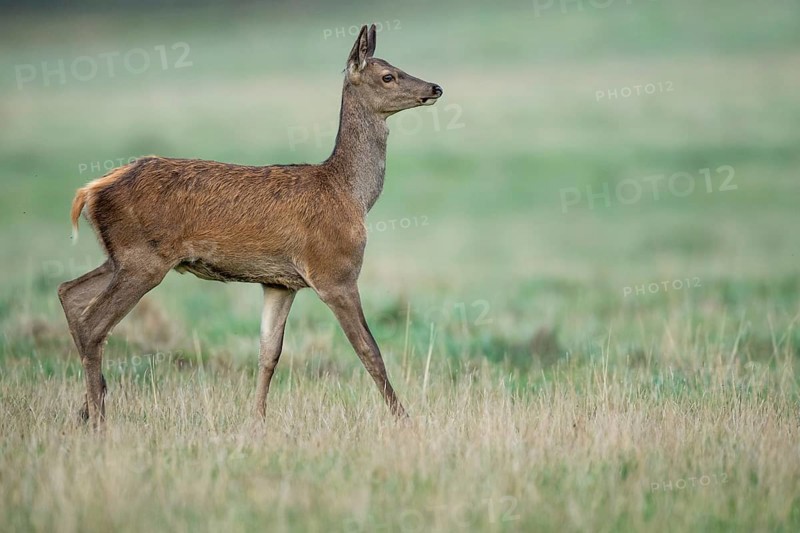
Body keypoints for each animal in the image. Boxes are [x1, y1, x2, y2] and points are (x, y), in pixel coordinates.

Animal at [57, 24, 443, 429]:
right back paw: (98, 419)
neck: (351, 194)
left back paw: (88, 406)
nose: (434, 88)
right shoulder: (334, 271)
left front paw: (257, 418)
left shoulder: (280, 282)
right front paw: (405, 418)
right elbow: (369, 351)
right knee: (94, 322)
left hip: (121, 256)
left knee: (70, 292)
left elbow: (269, 352)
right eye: (388, 76)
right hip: (142, 259)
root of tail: (90, 190)